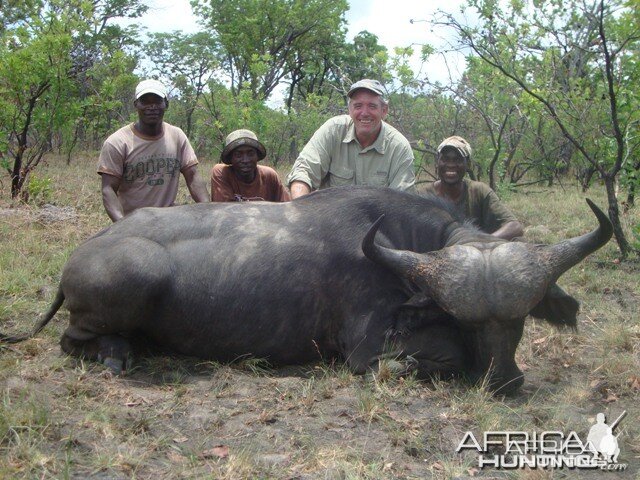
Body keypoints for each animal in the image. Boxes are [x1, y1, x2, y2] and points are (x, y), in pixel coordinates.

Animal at [1, 186, 608, 392]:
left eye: (520, 320)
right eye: (466, 321)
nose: (503, 381)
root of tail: (86, 250)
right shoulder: (368, 352)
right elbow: (437, 359)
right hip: (135, 279)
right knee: (72, 340)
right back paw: (116, 355)